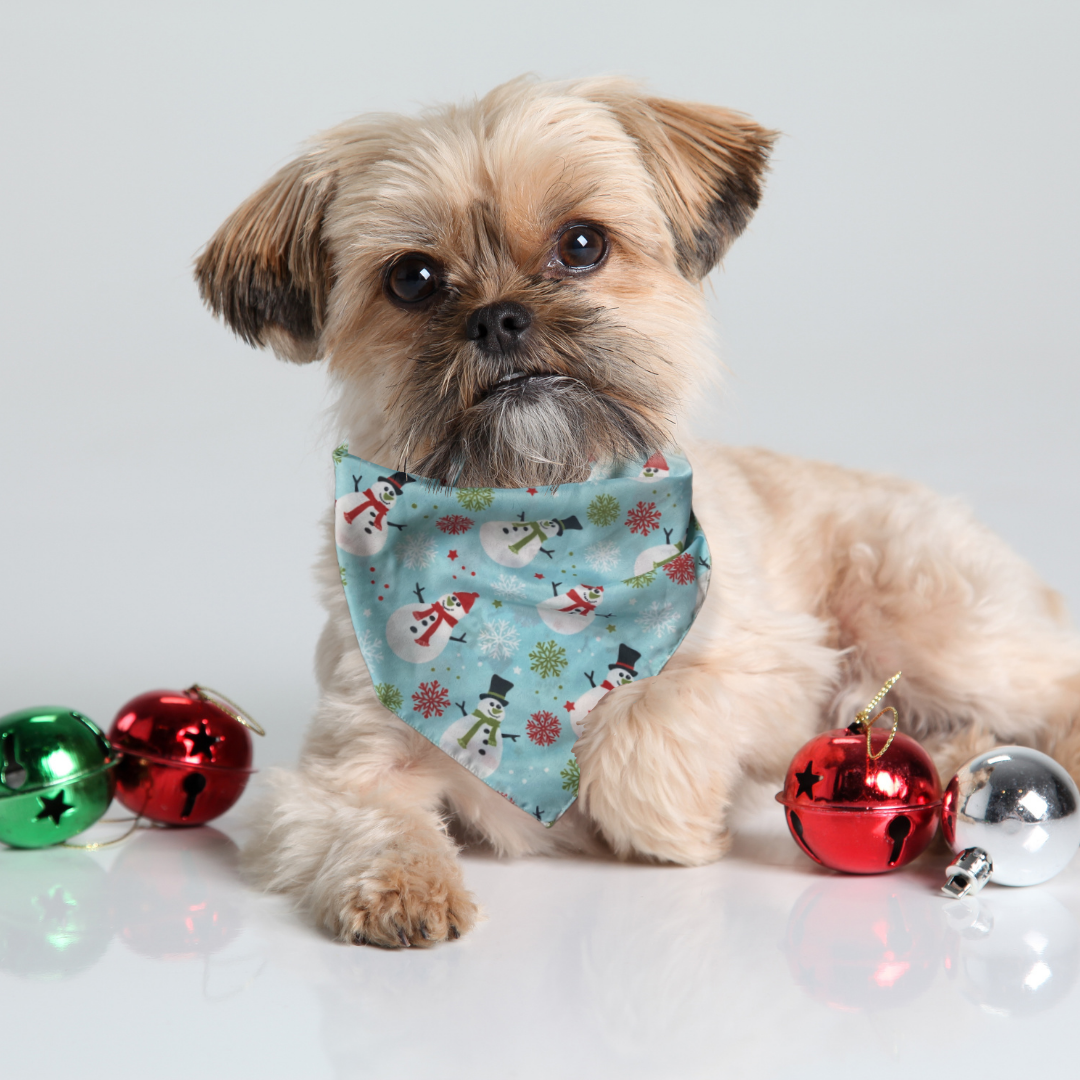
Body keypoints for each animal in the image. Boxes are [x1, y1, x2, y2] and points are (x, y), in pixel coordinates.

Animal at [194, 76, 1080, 946]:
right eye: (411, 279)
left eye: (582, 244)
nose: (498, 316)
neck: (534, 514)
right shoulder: (341, 767)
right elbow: (365, 816)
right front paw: (402, 886)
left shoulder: (775, 668)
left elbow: (645, 725)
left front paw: (672, 827)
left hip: (921, 621)